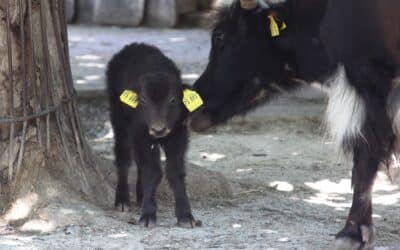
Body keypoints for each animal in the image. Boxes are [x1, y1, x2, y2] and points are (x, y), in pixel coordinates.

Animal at [106, 43, 203, 229]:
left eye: (172, 100)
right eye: (143, 100)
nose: (158, 129)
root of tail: (133, 45)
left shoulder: (178, 135)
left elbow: (174, 171)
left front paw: (185, 215)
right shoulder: (140, 133)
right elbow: (152, 171)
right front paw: (148, 215)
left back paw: (140, 194)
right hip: (119, 120)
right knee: (123, 157)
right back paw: (122, 200)